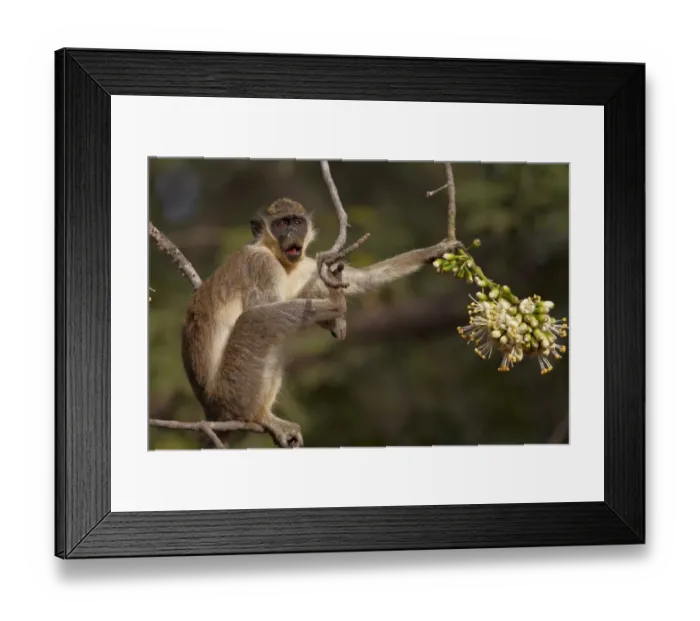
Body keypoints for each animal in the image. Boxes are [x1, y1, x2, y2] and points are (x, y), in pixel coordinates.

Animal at [180, 198, 463, 449]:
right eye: (281, 224)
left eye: (297, 222)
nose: (292, 232)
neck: (278, 257)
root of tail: (211, 409)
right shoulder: (261, 265)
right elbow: (262, 308)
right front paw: (333, 315)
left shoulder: (305, 265)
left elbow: (360, 278)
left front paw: (432, 252)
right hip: (231, 389)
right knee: (257, 321)